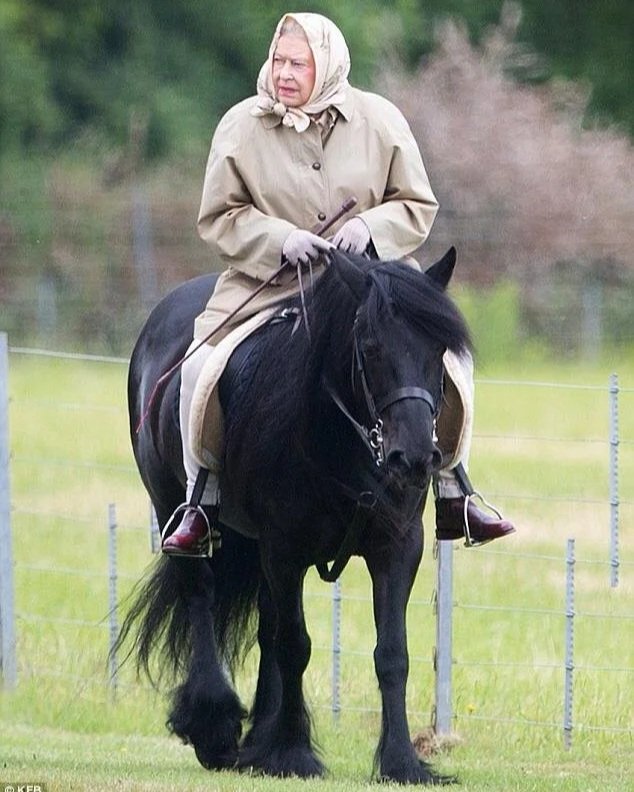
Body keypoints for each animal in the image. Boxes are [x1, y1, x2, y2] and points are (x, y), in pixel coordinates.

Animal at [115, 248, 471, 784]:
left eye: (438, 350)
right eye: (370, 348)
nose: (413, 458)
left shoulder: (396, 547)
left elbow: (391, 654)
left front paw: (402, 762)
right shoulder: (285, 549)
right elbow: (295, 645)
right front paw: (292, 753)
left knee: (265, 627)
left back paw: (256, 739)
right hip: (175, 508)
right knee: (202, 597)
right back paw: (216, 727)